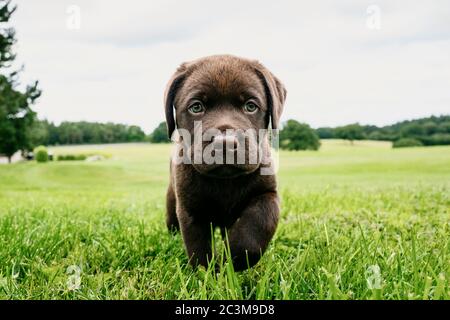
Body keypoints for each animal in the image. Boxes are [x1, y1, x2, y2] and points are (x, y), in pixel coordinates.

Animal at [163, 54, 286, 270]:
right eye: (196, 107)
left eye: (251, 106)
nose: (225, 143)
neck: (225, 181)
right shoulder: (190, 207)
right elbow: (198, 248)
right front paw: (207, 274)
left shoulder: (267, 193)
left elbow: (256, 228)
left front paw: (233, 258)